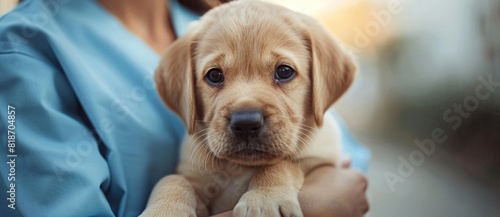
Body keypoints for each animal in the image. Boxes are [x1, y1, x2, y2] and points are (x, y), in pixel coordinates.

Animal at [140, 0, 356, 216]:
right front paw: (165, 209)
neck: (239, 168)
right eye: (214, 75)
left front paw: (265, 199)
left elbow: (283, 164)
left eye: (284, 71)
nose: (245, 123)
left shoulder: (322, 161)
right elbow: (172, 179)